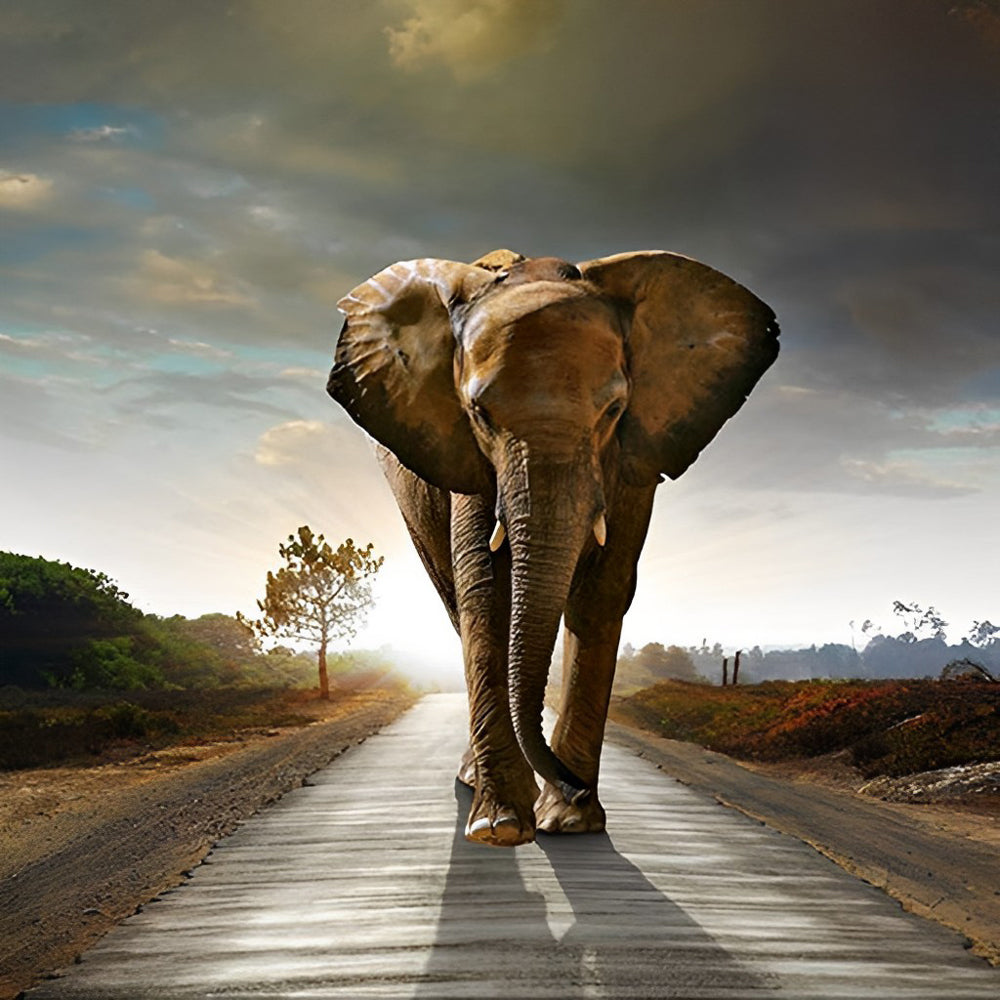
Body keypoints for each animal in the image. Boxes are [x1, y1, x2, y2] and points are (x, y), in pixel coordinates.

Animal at [327, 247, 778, 847]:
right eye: (479, 414)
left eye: (613, 410)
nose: (574, 786)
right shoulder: (467, 459)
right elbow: (487, 590)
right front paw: (500, 828)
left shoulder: (633, 458)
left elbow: (602, 592)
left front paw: (570, 822)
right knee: (455, 601)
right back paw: (476, 785)